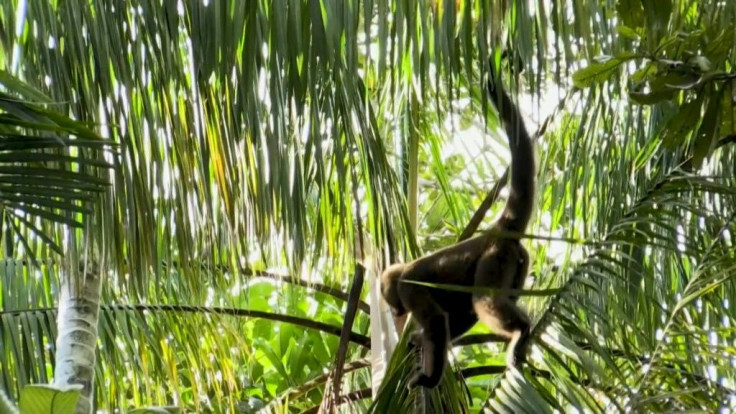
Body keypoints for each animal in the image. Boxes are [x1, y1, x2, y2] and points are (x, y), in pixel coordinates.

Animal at [380, 58, 536, 388]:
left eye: (389, 297)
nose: (393, 309)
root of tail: (494, 230)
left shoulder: (408, 288)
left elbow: (438, 320)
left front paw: (428, 379)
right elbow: (459, 317)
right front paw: (418, 340)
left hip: (495, 257)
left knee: (484, 300)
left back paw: (521, 330)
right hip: (518, 261)